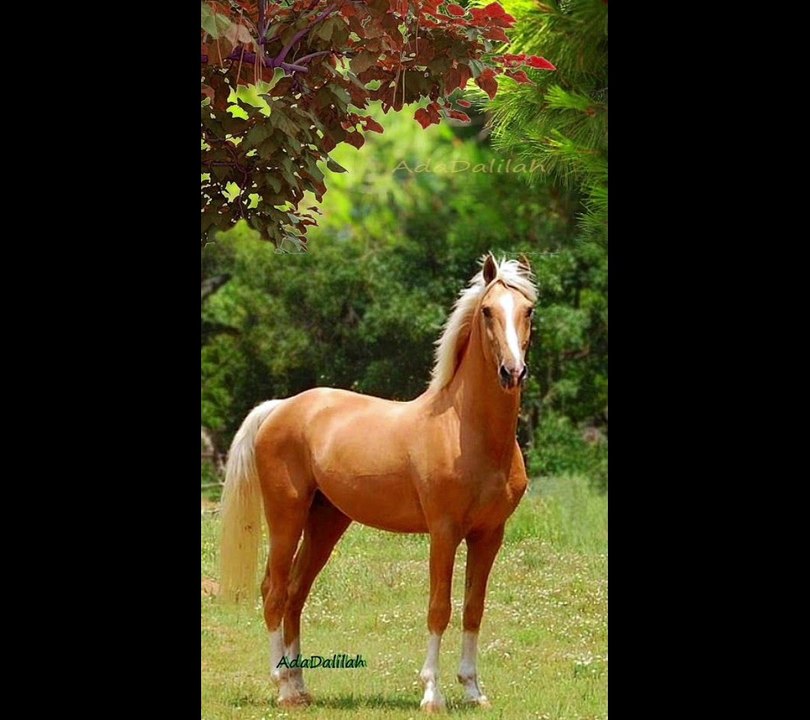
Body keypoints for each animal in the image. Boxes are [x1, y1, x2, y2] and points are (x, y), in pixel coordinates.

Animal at [219, 253, 537, 712]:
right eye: (487, 311)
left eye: (528, 311)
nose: (512, 371)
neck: (464, 430)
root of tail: (280, 407)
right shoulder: (444, 532)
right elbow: (439, 607)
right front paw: (432, 694)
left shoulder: (490, 535)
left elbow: (473, 608)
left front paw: (474, 691)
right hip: (286, 518)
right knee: (274, 591)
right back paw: (284, 689)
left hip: (326, 522)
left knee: (296, 594)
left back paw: (300, 685)